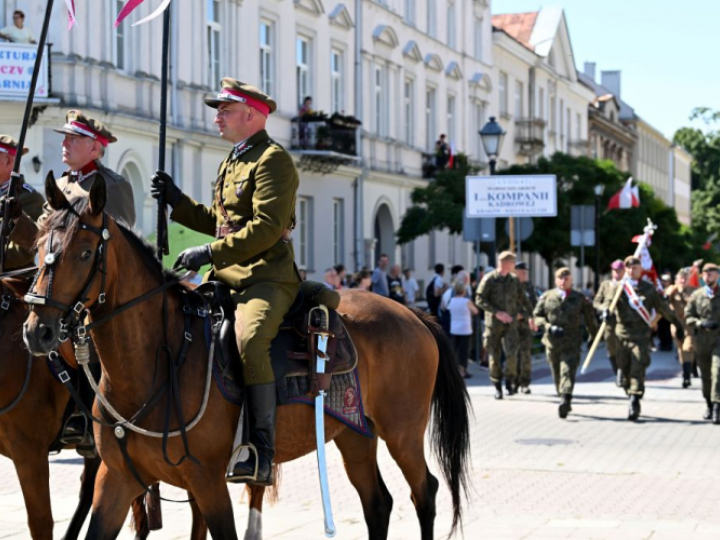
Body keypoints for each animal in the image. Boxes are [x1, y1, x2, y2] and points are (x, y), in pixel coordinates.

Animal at [22, 177, 470, 540]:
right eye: (39, 246)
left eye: (84, 253)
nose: (36, 330)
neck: (156, 364)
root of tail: (412, 312)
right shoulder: (115, 481)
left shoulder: (208, 483)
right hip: (355, 433)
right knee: (378, 503)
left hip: (402, 432)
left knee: (425, 493)